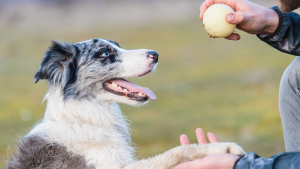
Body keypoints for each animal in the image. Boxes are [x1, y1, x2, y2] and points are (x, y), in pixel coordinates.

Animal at [4, 39, 245, 168]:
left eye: (117, 45)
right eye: (105, 53)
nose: (155, 54)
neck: (84, 116)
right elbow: (177, 151)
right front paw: (222, 148)